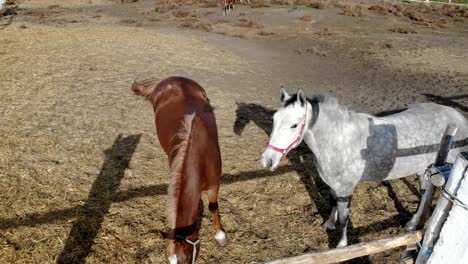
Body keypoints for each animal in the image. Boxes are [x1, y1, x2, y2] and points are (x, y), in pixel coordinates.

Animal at [132, 77, 227, 264]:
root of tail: (169, 79)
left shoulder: (214, 184)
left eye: (185, 259)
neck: (198, 152)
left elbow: (213, 207)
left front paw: (220, 236)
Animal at [260, 90, 468, 248]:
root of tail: (459, 118)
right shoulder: (333, 185)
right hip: (424, 169)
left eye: (294, 125)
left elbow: (344, 218)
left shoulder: (345, 189)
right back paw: (412, 223)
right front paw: (329, 224)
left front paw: (341, 245)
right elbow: (332, 203)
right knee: (425, 193)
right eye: (274, 120)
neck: (338, 140)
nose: (267, 161)